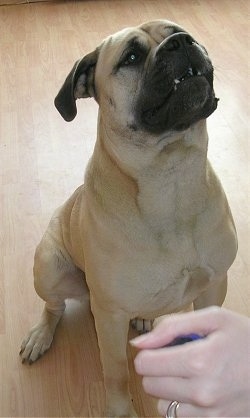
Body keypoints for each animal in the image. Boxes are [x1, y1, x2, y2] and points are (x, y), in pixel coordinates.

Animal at [20, 21, 237, 416]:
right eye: (132, 57)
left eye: (179, 30)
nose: (181, 42)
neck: (170, 173)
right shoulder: (109, 316)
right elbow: (116, 371)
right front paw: (122, 409)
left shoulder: (215, 284)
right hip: (49, 268)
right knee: (53, 306)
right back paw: (40, 335)